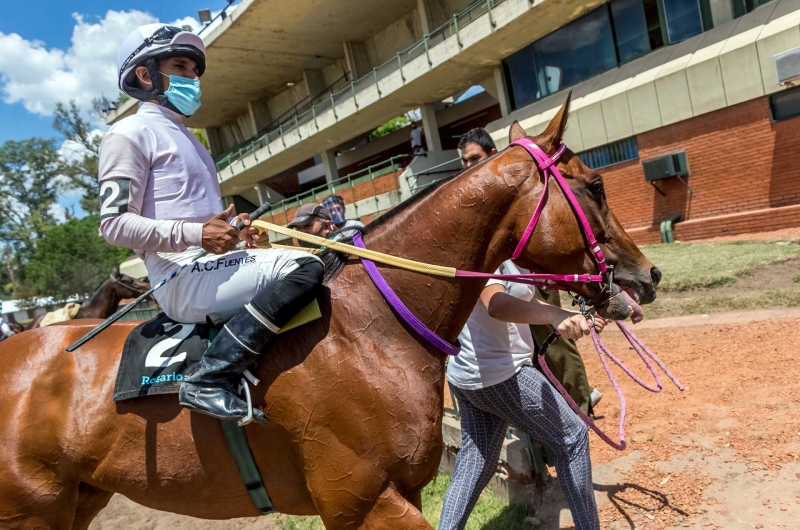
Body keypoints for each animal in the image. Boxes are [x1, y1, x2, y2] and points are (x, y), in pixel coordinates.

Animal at [0, 98, 656, 524]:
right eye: (595, 185)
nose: (646, 275)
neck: (372, 332)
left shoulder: (395, 492)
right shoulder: (361, 501)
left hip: (78, 501)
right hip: (32, 511)